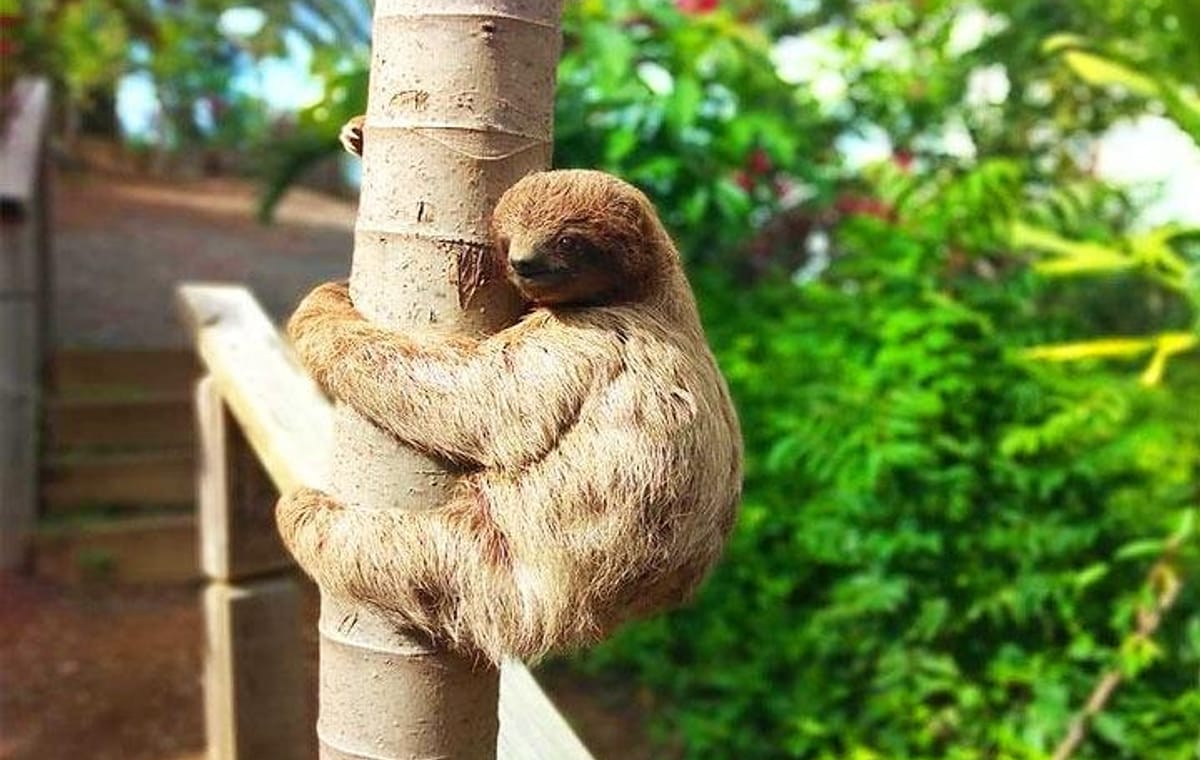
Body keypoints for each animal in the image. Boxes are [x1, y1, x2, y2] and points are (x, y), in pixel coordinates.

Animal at [277, 129, 742, 664]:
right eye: (507, 240)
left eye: (567, 241)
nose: (524, 261)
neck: (647, 289)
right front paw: (357, 133)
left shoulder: (584, 339)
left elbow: (473, 400)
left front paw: (322, 307)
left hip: (495, 579)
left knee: (384, 548)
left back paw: (304, 508)